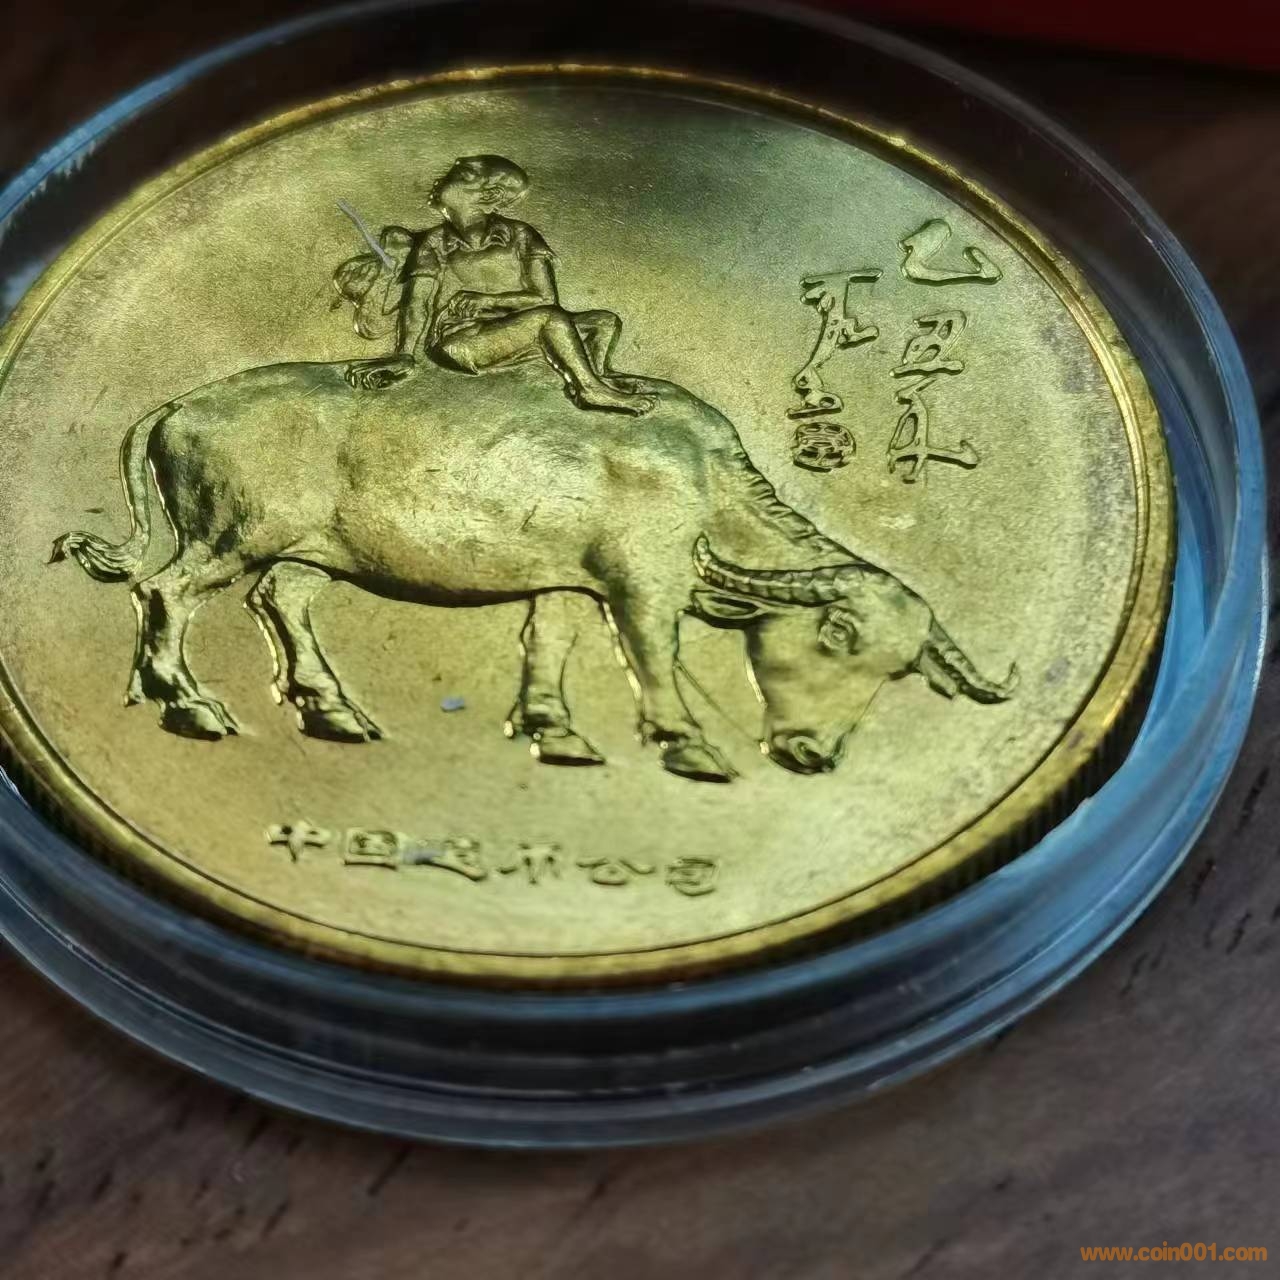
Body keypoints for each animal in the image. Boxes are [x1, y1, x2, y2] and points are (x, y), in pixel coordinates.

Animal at [51, 357, 1016, 783]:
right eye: (836, 634)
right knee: (165, 592)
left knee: (282, 604)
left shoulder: (564, 583)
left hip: (309, 557)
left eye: (899, 671)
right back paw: (191, 706)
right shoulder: (643, 585)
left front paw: (558, 731)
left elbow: (549, 644)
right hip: (230, 538)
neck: (698, 475)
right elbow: (655, 655)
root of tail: (181, 402)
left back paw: (334, 712)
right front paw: (689, 743)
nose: (813, 754)